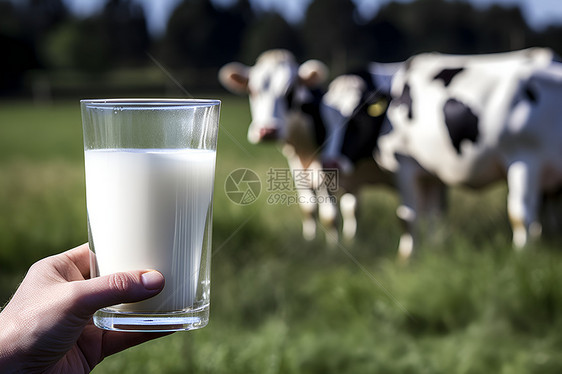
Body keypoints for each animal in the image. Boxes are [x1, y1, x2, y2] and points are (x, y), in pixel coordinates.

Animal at [217, 49, 340, 243]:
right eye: (252, 90)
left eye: (291, 91)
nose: (268, 131)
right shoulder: (296, 165)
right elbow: (309, 208)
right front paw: (310, 242)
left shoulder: (329, 167)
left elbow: (330, 215)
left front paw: (333, 247)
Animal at [372, 46, 560, 258]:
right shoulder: (429, 174)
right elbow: (432, 214)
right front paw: (430, 250)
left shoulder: (404, 164)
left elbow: (408, 217)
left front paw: (408, 257)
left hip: (523, 161)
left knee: (522, 213)